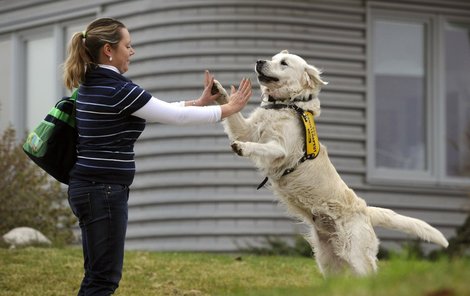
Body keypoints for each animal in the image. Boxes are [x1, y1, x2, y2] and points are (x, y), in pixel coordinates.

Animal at [213, 49, 448, 276]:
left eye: (284, 63)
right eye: (272, 58)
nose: (259, 61)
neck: (286, 104)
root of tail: (365, 210)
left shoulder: (281, 149)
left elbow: (261, 146)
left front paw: (242, 147)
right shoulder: (247, 129)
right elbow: (233, 114)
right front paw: (219, 90)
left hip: (357, 256)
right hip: (328, 259)